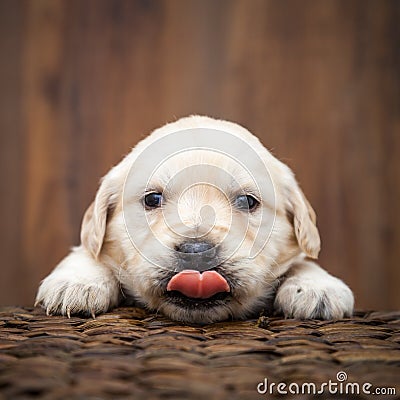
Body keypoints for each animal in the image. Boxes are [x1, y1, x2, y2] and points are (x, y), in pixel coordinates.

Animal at [34, 117, 354, 324]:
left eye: (247, 201)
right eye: (152, 199)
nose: (197, 252)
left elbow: (302, 260)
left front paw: (316, 286)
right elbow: (88, 252)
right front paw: (77, 282)